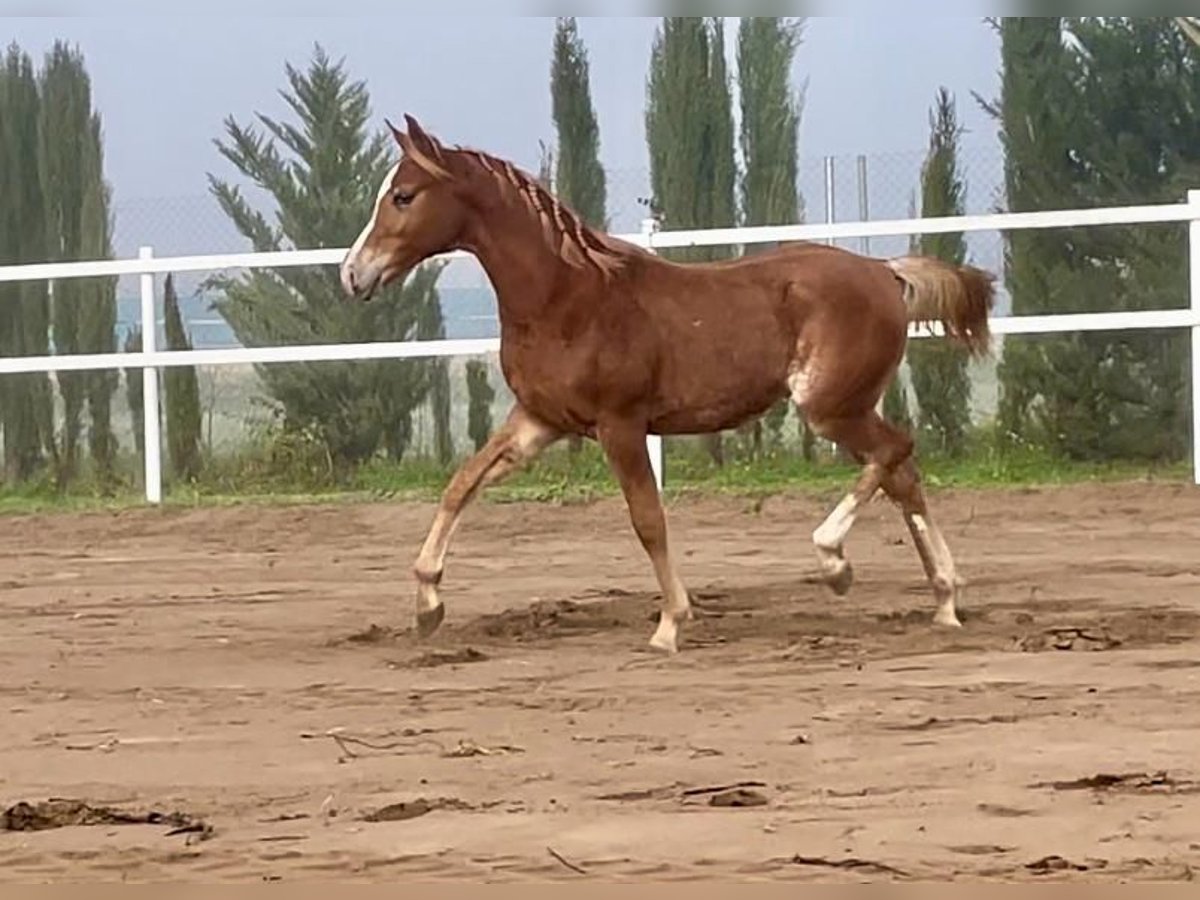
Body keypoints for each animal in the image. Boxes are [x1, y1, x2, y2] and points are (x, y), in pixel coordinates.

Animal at [340, 118, 993, 657]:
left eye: (403, 196)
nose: (352, 273)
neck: (565, 299)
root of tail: (886, 273)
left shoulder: (620, 424)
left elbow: (648, 520)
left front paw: (670, 624)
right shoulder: (539, 419)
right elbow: (462, 484)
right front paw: (427, 605)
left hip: (830, 407)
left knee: (895, 452)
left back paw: (836, 563)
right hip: (848, 408)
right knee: (903, 474)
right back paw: (944, 600)